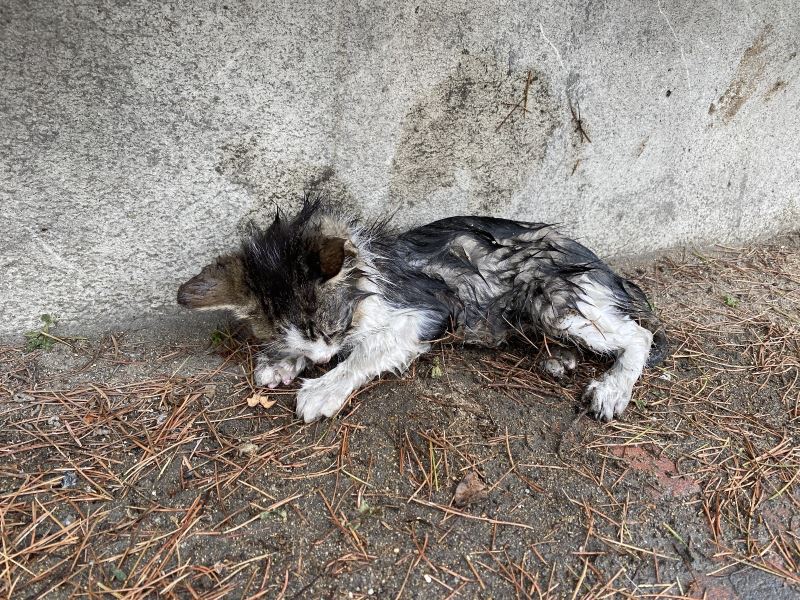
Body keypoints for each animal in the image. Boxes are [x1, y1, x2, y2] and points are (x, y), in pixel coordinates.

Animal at [178, 197, 664, 422]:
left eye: (334, 328)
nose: (322, 358)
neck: (368, 272)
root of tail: (603, 266)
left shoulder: (423, 313)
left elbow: (364, 353)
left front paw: (323, 387)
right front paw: (280, 360)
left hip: (549, 294)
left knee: (640, 335)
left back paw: (612, 388)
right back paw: (559, 359)